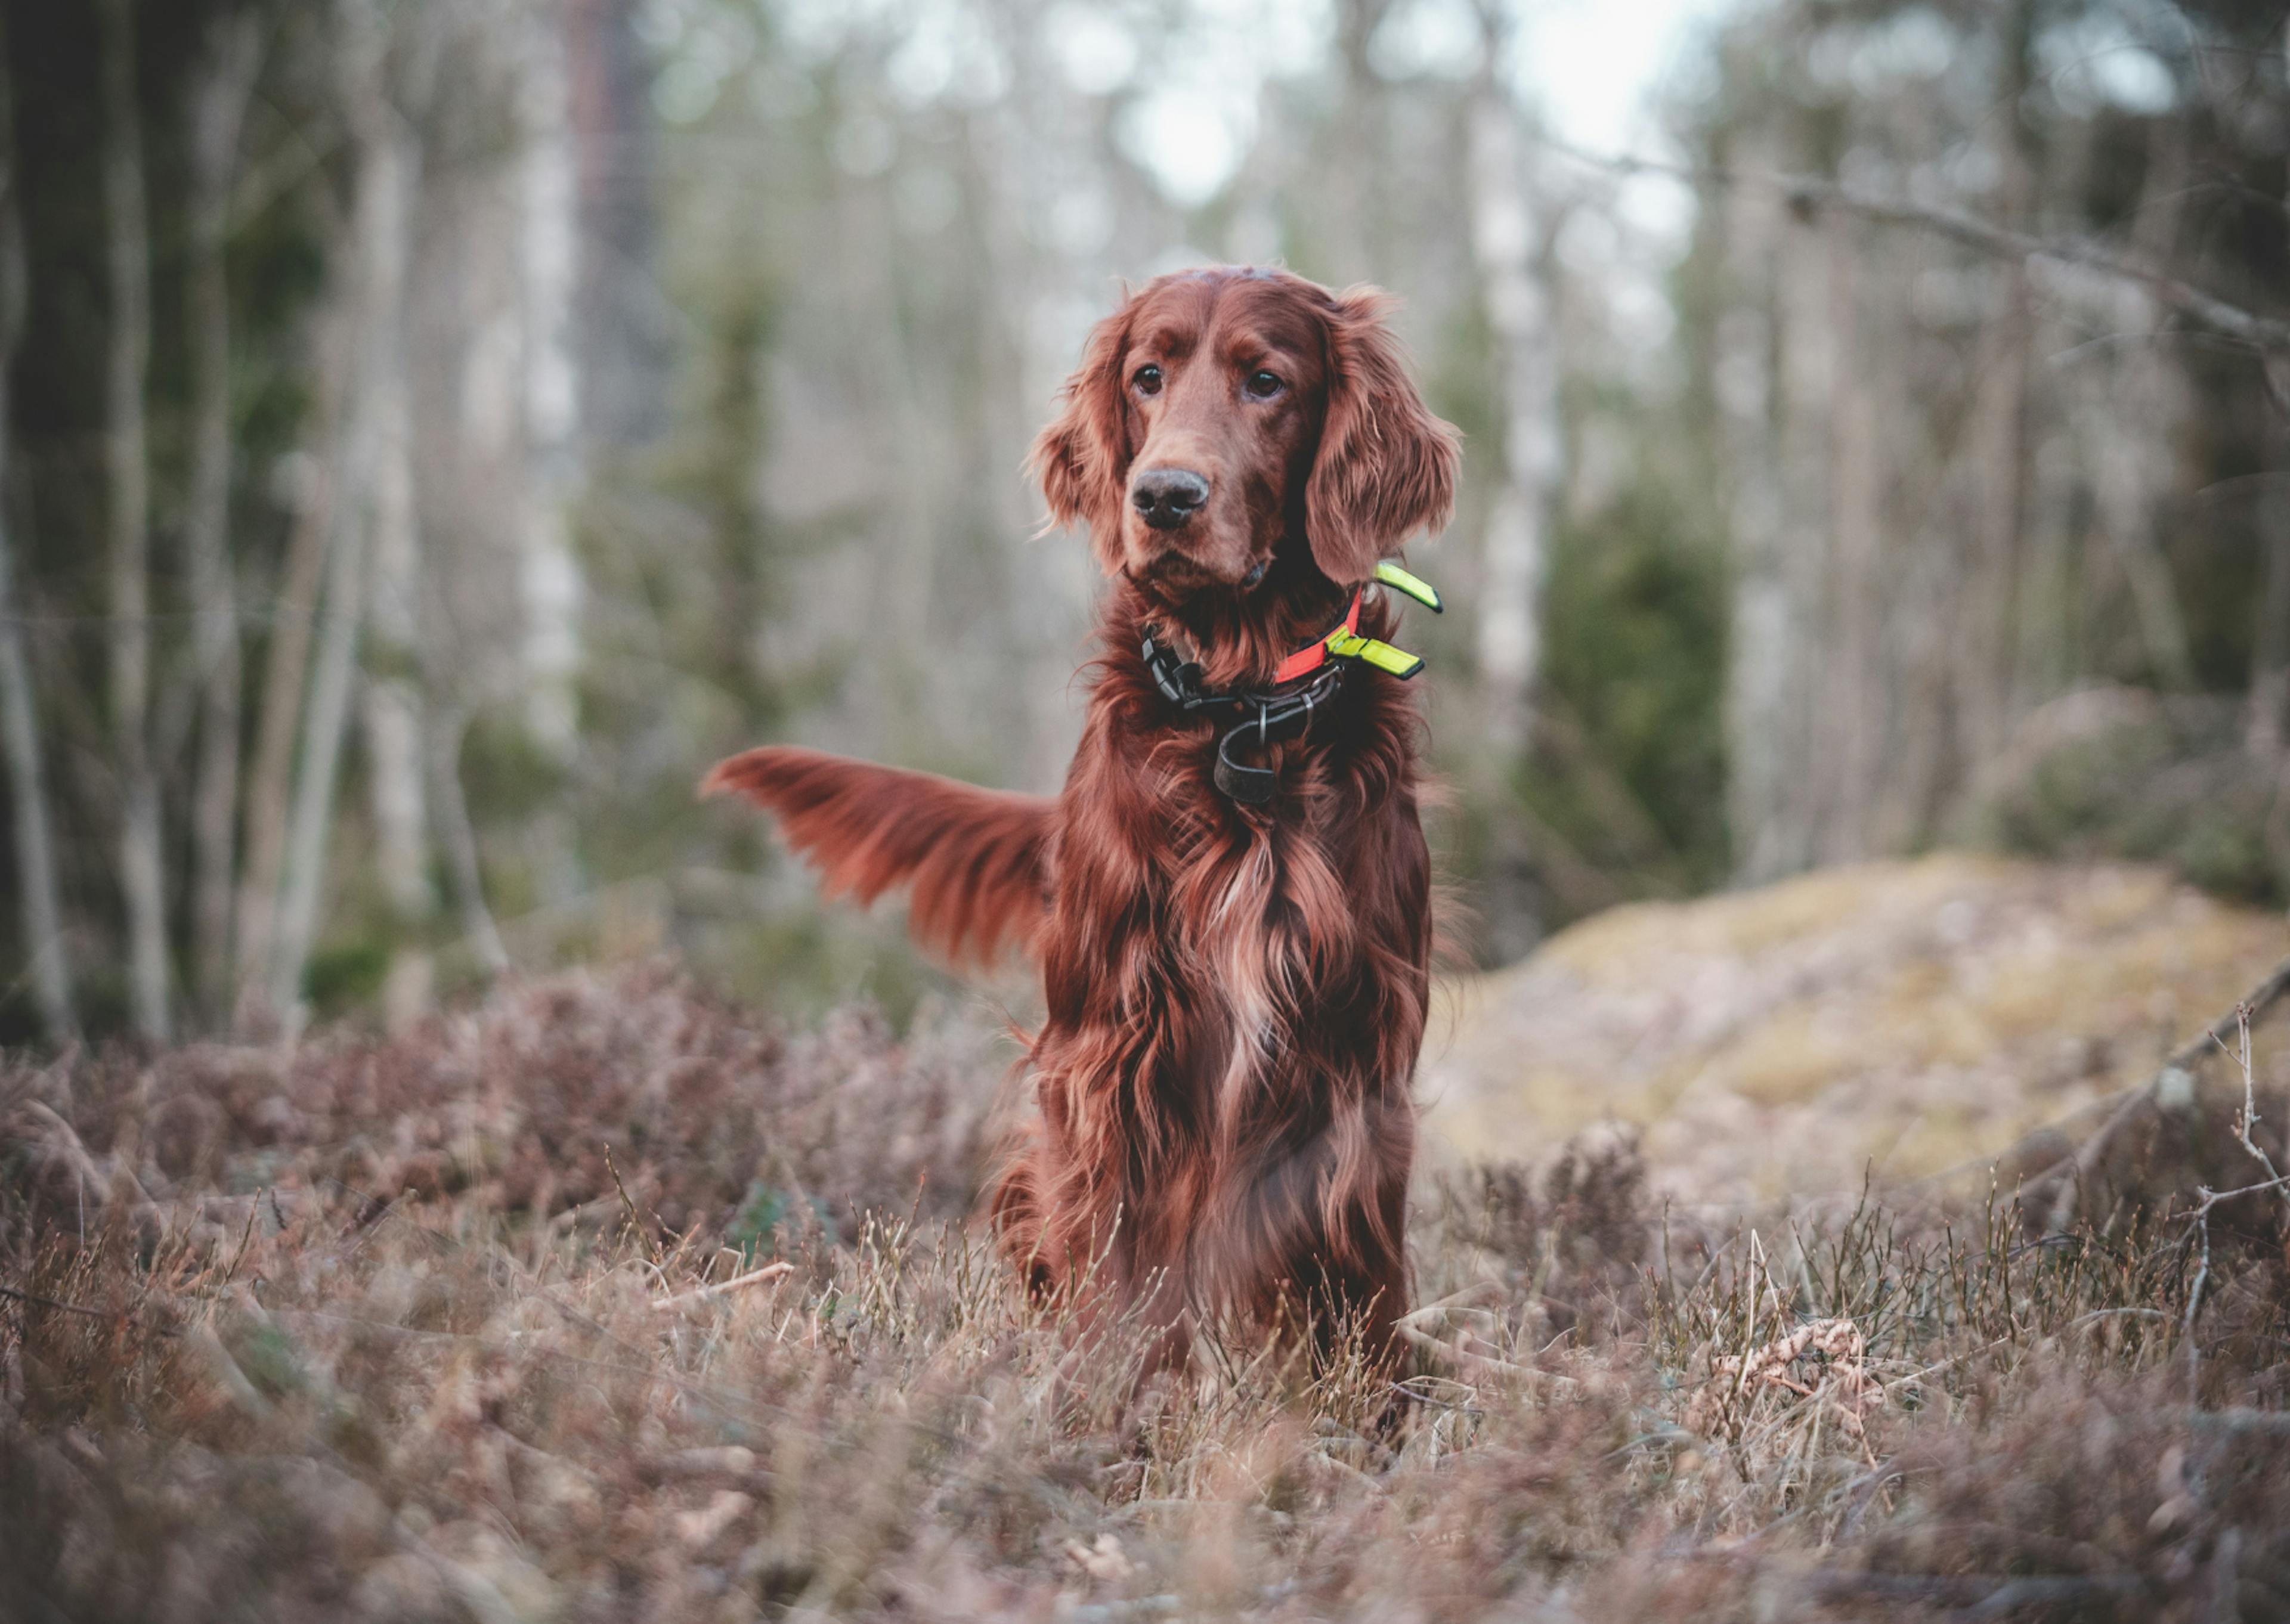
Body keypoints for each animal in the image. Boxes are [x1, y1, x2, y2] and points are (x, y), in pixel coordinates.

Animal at [705, 263, 1456, 1365]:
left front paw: (1368, 1406)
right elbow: (1117, 1260)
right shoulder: (1115, 1042)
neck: (1238, 714)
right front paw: (1112, 1396)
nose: (1165, 496)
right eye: (1148, 376)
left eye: (1267, 381)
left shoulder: (1357, 1047)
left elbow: (1358, 1278)